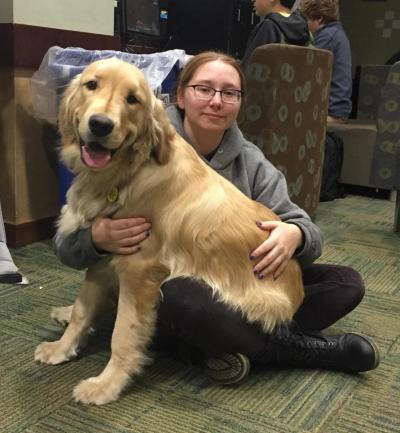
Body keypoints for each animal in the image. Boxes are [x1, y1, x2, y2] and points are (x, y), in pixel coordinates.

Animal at [34, 58, 304, 404]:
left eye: (133, 99)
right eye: (91, 85)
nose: (100, 125)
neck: (129, 172)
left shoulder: (140, 271)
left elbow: (123, 335)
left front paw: (107, 385)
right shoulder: (105, 252)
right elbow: (83, 310)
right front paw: (62, 348)